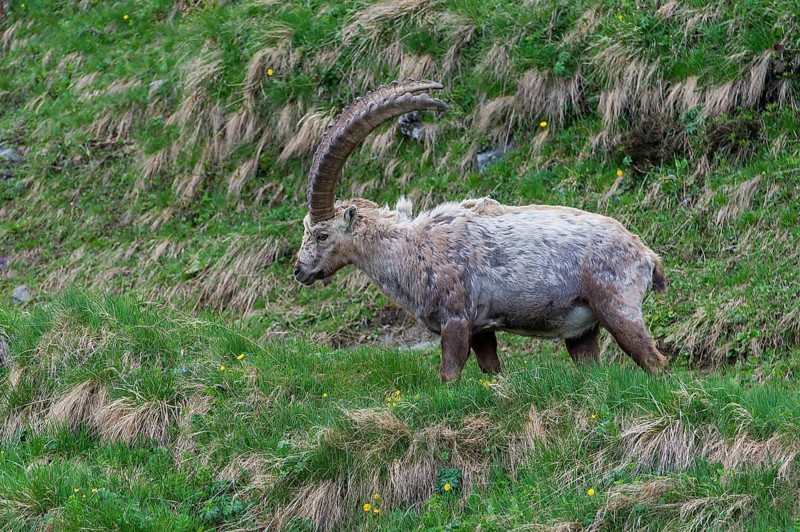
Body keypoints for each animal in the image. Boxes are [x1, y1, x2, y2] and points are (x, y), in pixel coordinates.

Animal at [294, 80, 669, 382]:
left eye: (322, 235)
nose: (299, 271)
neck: (410, 249)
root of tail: (646, 255)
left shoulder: (457, 318)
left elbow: (449, 373)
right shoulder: (482, 329)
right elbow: (491, 369)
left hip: (618, 308)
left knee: (655, 361)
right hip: (582, 330)